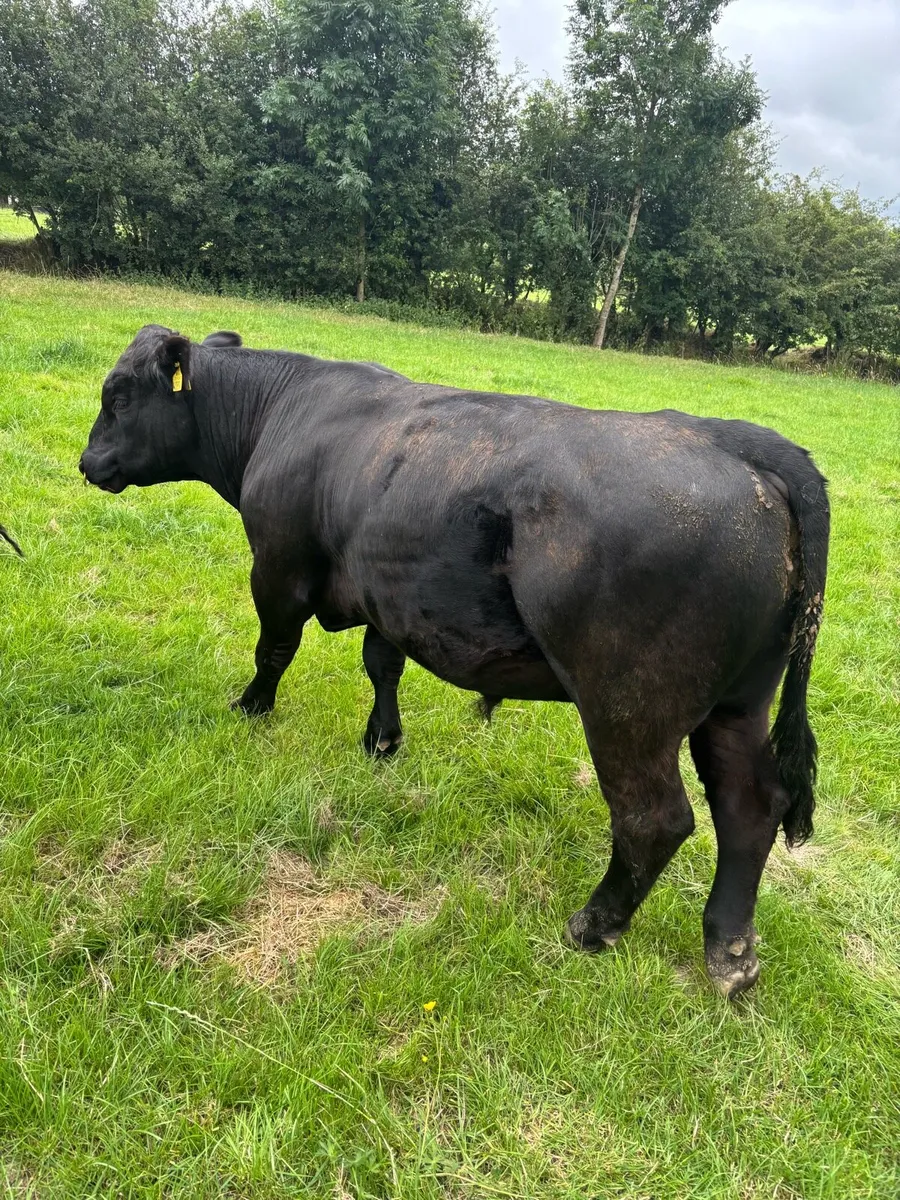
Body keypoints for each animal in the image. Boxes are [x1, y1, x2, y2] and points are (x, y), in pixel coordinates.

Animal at [80, 325, 830, 997]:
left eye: (119, 396)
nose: (87, 463)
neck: (285, 410)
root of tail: (734, 439)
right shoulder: (386, 591)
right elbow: (381, 663)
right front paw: (382, 741)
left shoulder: (279, 569)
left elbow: (274, 650)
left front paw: (251, 709)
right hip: (738, 702)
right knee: (749, 806)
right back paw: (730, 954)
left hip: (629, 707)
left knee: (655, 818)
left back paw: (592, 926)